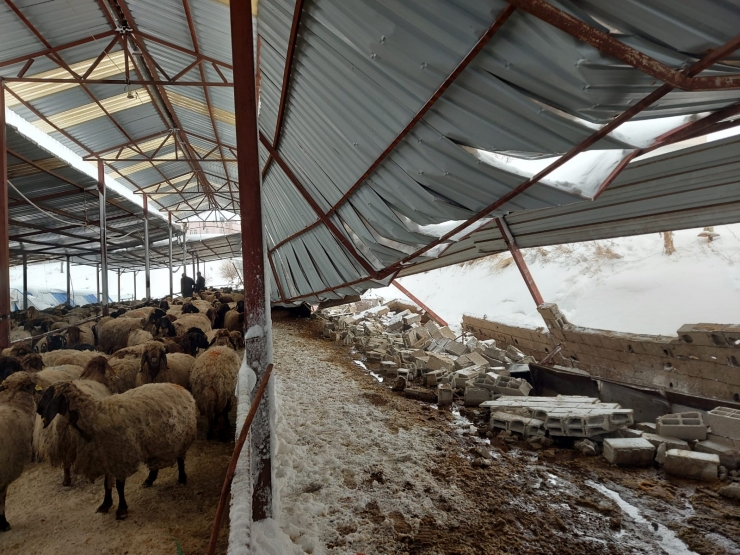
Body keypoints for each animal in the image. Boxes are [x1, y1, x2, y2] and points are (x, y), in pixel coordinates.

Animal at [37, 382, 197, 520]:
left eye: (50, 395)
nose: (38, 410)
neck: (94, 419)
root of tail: (181, 388)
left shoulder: (120, 457)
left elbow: (119, 486)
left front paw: (121, 510)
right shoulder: (106, 457)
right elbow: (106, 485)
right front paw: (105, 504)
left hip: (182, 437)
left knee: (180, 459)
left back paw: (182, 478)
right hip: (155, 442)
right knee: (155, 462)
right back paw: (149, 479)